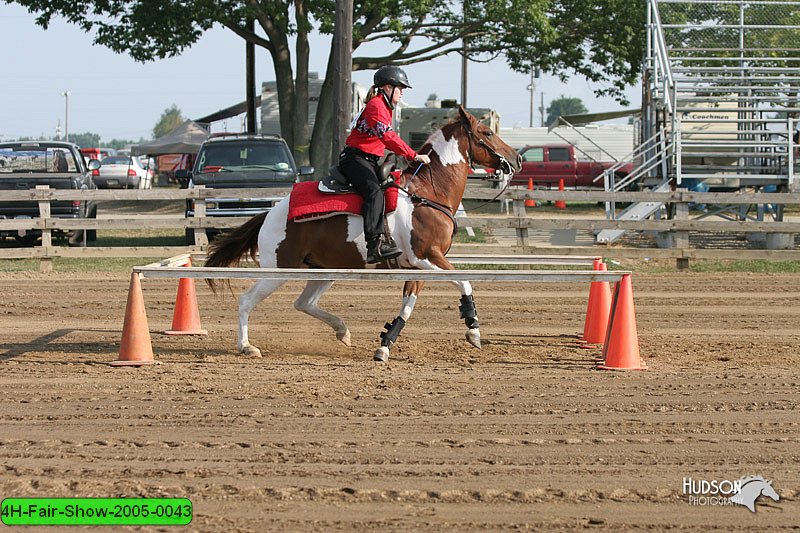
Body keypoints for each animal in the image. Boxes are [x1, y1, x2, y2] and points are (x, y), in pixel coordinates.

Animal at [203, 105, 520, 362]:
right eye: (487, 132)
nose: (516, 158)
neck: (427, 193)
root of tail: (270, 214)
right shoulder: (428, 257)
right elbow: (465, 282)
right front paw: (473, 330)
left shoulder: (418, 267)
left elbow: (407, 307)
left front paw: (385, 345)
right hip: (279, 270)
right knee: (247, 300)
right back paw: (247, 347)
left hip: (323, 271)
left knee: (304, 302)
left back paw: (342, 330)